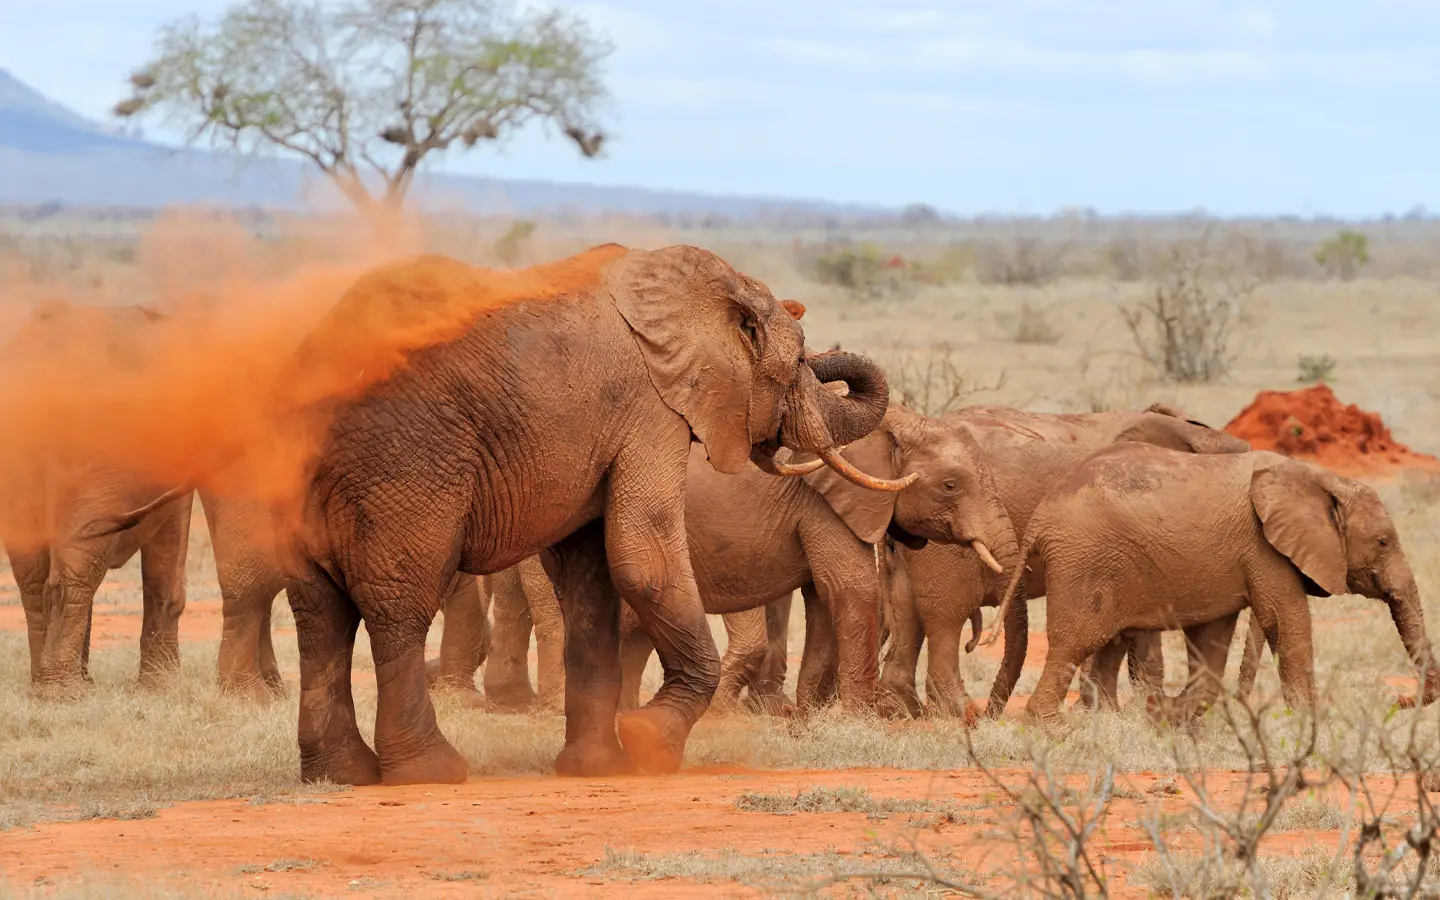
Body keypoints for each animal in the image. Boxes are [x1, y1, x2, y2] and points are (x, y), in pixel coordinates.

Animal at [88, 244, 905, 785]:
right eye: (794, 365)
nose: (815, 336)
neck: (687, 282)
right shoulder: (650, 410)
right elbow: (641, 554)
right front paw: (649, 747)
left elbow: (590, 579)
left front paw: (594, 767)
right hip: (407, 468)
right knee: (397, 606)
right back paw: (429, 773)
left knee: (321, 614)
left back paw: (339, 775)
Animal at [471, 402, 1020, 717]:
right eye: (950, 486)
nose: (978, 641)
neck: (894, 423)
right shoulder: (825, 500)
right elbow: (849, 590)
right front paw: (861, 721)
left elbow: (822, 599)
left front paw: (807, 718)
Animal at [990, 443, 1440, 724]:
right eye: (1383, 542)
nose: (1400, 701)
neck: (1322, 478)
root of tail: (1041, 515)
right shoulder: (1263, 546)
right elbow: (1284, 621)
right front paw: (1311, 726)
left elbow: (1213, 636)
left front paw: (1168, 717)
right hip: (1084, 560)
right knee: (1074, 642)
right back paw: (1051, 728)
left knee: (1108, 643)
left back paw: (1113, 723)